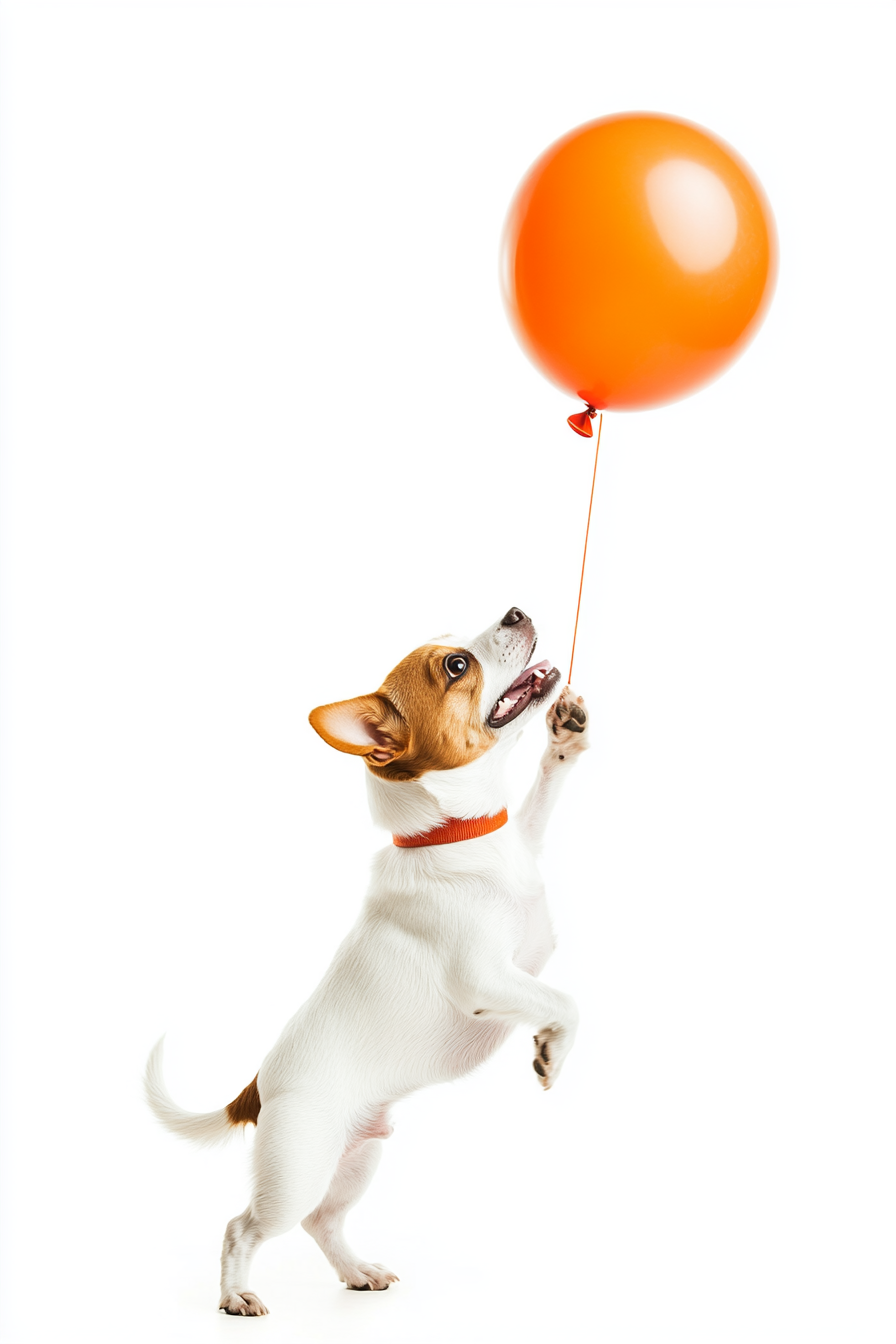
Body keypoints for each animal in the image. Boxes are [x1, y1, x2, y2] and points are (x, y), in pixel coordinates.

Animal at [144, 607, 591, 1311]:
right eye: (455, 666)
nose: (516, 610)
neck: (455, 836)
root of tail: (259, 1086)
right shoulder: (486, 979)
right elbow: (565, 1002)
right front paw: (552, 1051)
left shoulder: (525, 849)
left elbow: (540, 804)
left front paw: (567, 736)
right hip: (297, 1169)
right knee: (244, 1226)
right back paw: (237, 1296)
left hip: (359, 1158)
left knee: (322, 1221)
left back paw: (357, 1272)